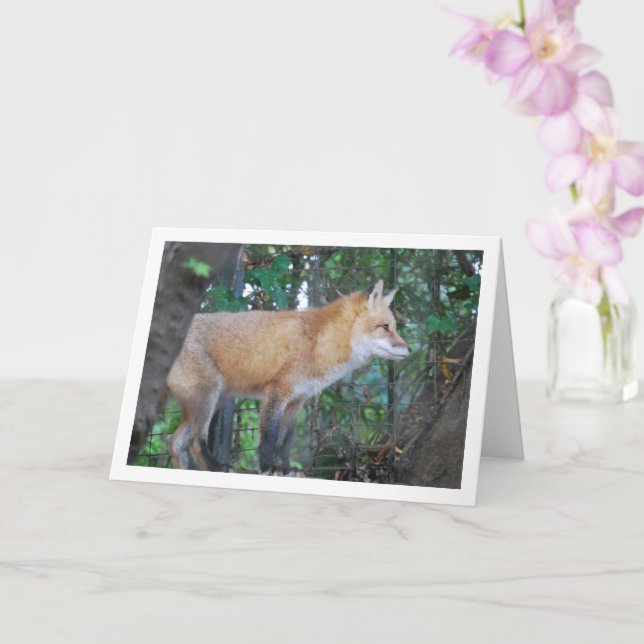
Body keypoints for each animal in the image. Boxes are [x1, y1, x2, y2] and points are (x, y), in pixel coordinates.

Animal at [167, 279, 411, 475]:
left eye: (394, 327)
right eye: (386, 327)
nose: (409, 350)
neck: (317, 343)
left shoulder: (297, 400)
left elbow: (285, 442)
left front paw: (285, 469)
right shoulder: (277, 392)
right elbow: (269, 437)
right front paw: (266, 468)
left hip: (214, 399)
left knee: (176, 442)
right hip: (209, 395)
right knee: (194, 441)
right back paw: (216, 467)